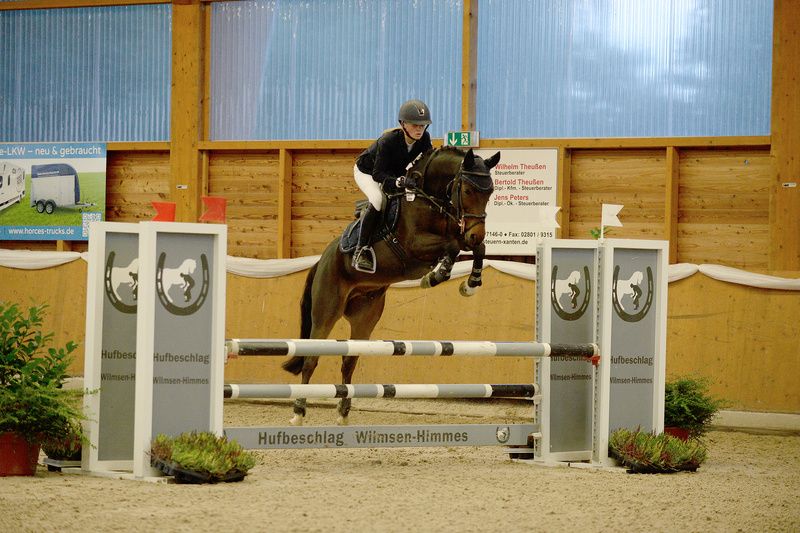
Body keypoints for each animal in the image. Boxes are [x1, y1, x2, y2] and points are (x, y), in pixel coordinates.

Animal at [281, 146, 500, 426]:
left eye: (490, 192)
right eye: (468, 191)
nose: (476, 232)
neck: (430, 199)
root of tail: (322, 261)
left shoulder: (460, 234)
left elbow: (477, 248)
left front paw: (470, 284)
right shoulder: (415, 245)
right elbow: (451, 247)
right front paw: (436, 275)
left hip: (365, 316)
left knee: (349, 361)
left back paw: (343, 413)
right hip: (326, 311)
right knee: (311, 358)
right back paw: (298, 413)